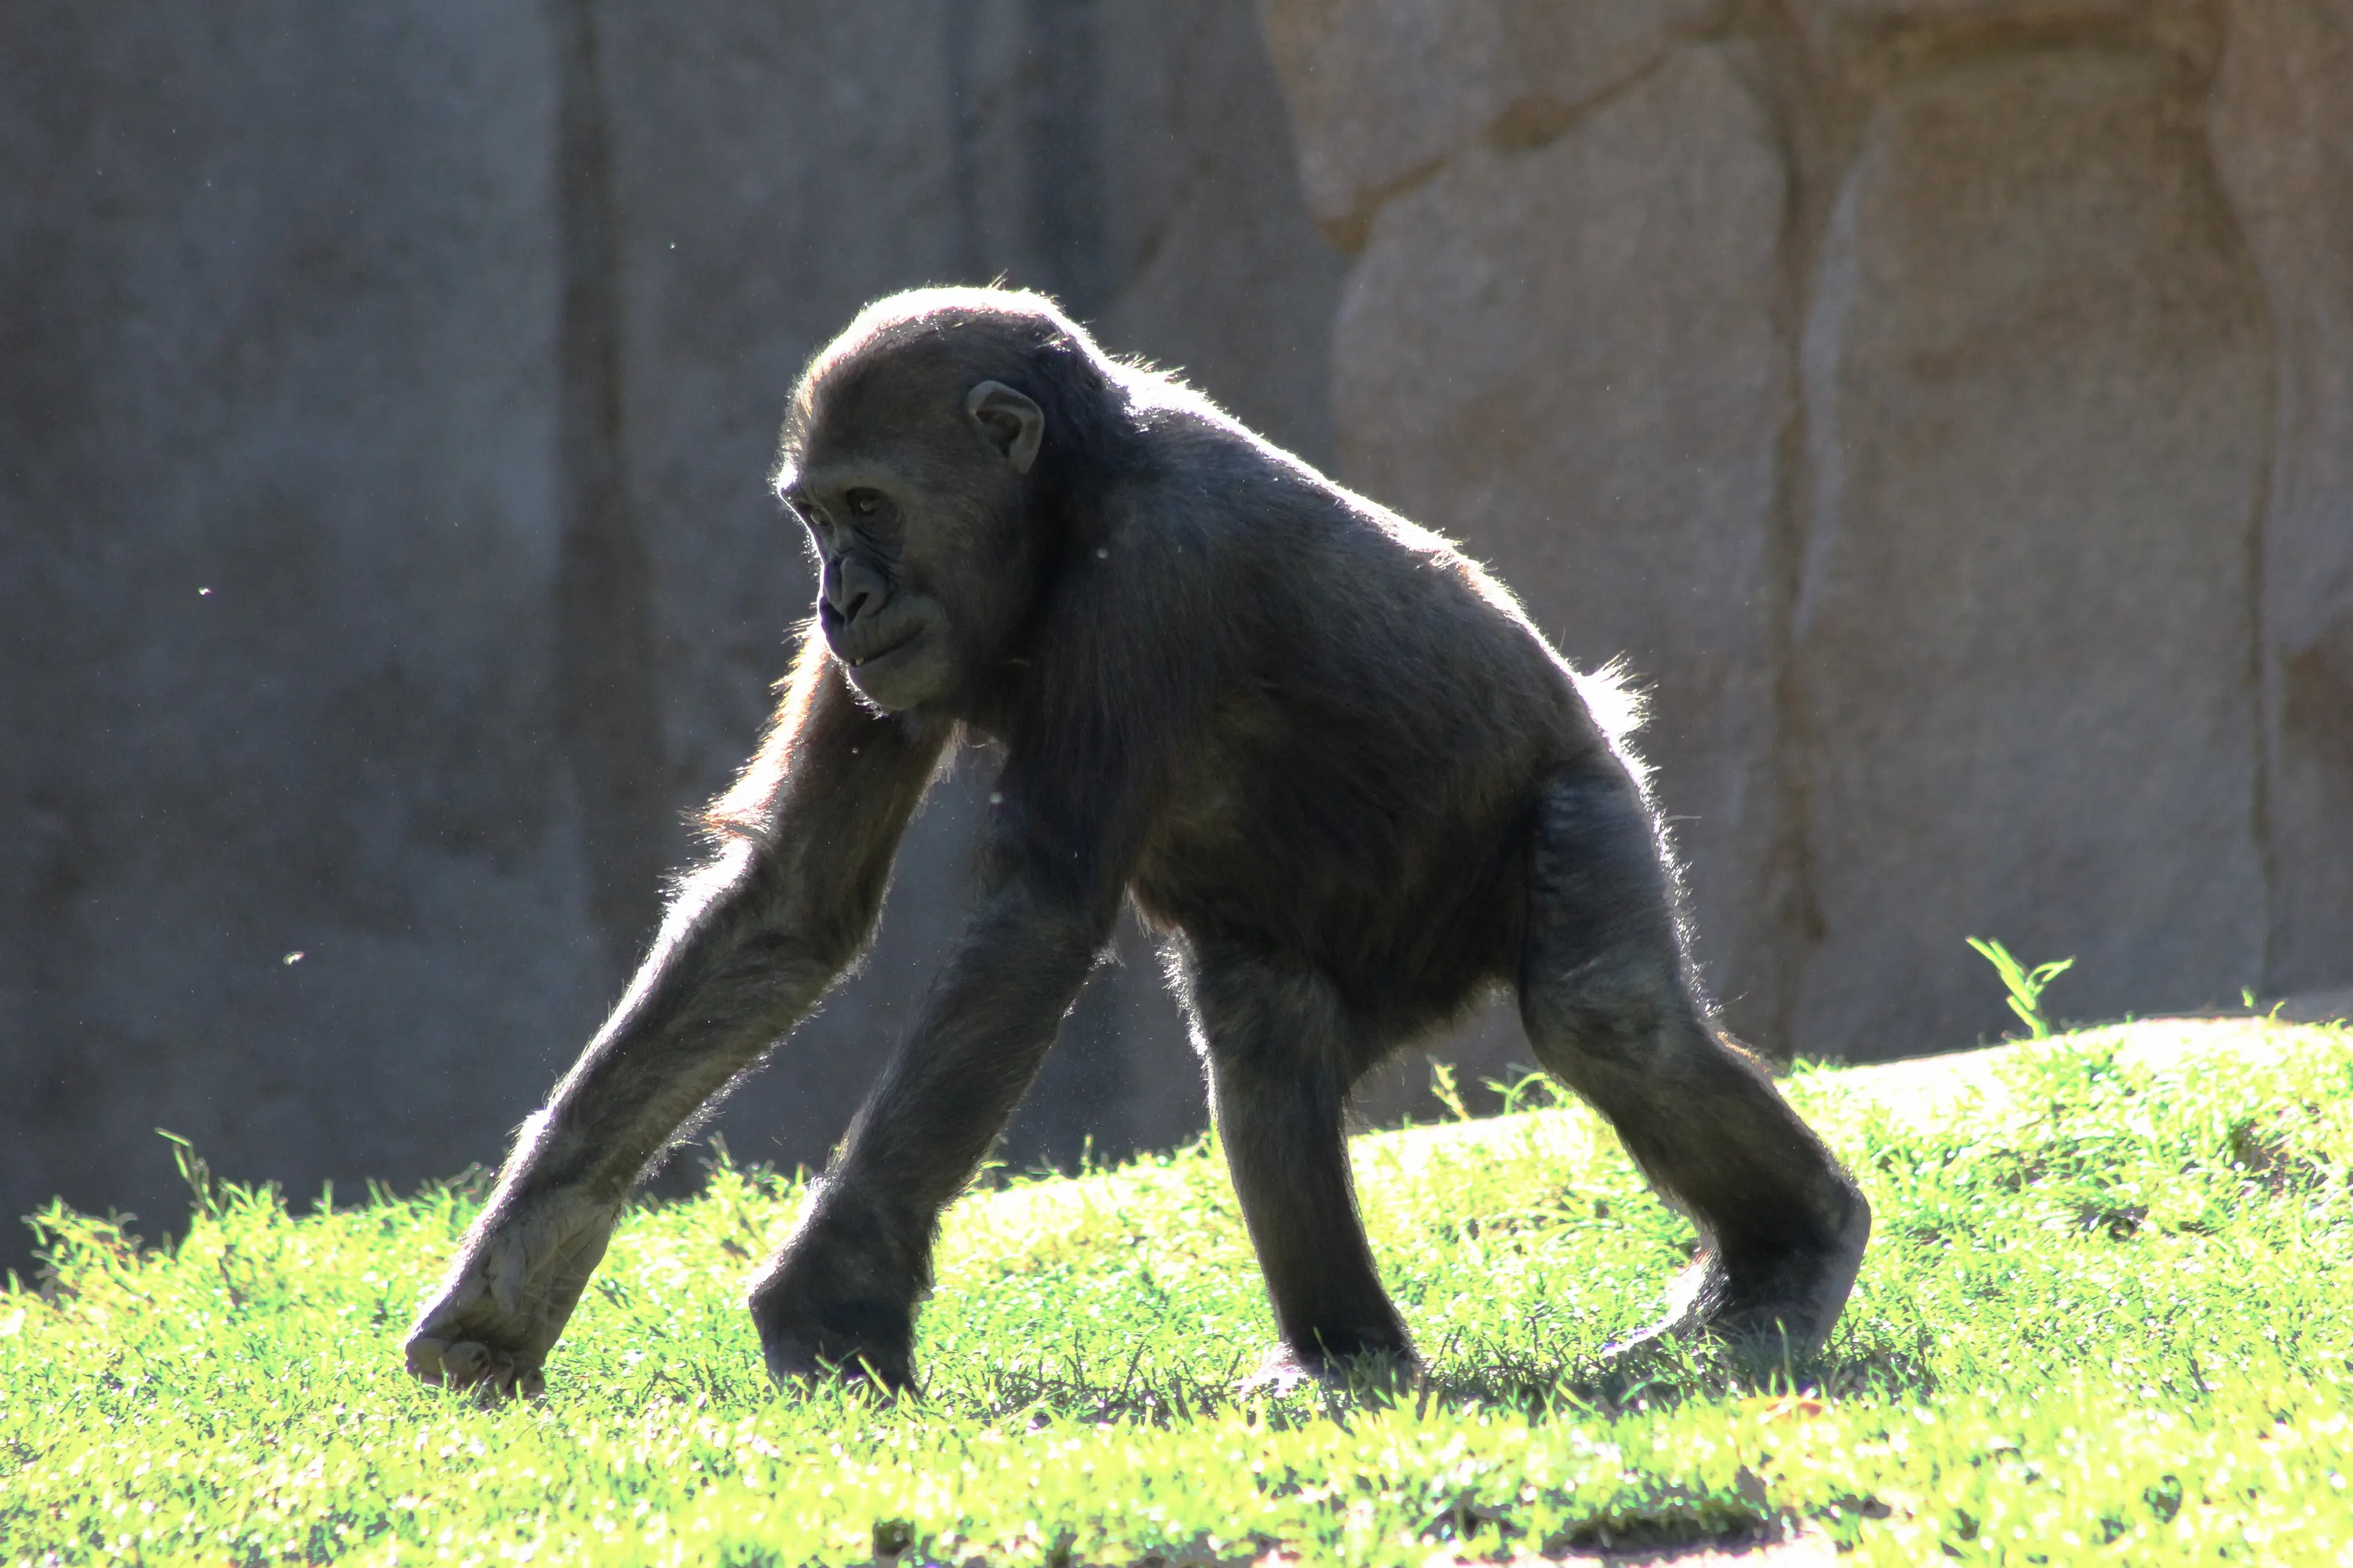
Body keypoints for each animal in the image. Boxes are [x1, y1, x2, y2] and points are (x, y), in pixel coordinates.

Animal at [402, 286, 1870, 1399]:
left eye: (870, 504)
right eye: (816, 517)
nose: (840, 597)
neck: (1068, 487)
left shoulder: (1155, 570)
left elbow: (1035, 917)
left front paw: (837, 1298)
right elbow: (788, 901)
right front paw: (510, 1280)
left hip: (1584, 780)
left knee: (1605, 1010)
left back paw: (1789, 1255)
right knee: (1268, 1036)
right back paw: (1346, 1354)